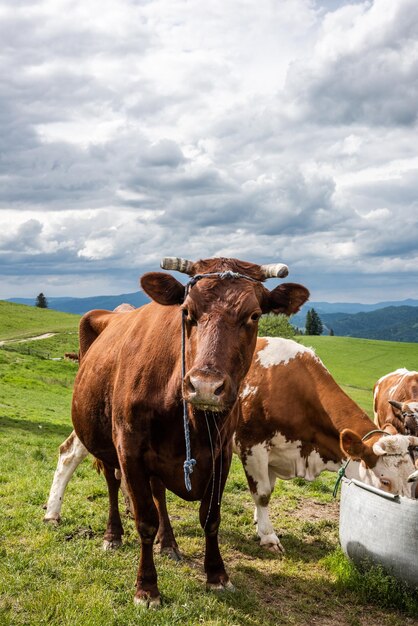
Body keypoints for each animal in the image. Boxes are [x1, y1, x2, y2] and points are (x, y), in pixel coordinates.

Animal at [69, 255, 310, 604]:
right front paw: (147, 588)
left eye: (253, 315)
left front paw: (217, 575)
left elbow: (210, 518)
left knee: (159, 494)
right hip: (103, 444)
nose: (206, 386)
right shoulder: (129, 449)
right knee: (114, 484)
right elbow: (145, 520)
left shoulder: (222, 454)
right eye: (186, 312)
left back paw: (169, 543)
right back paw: (113, 535)